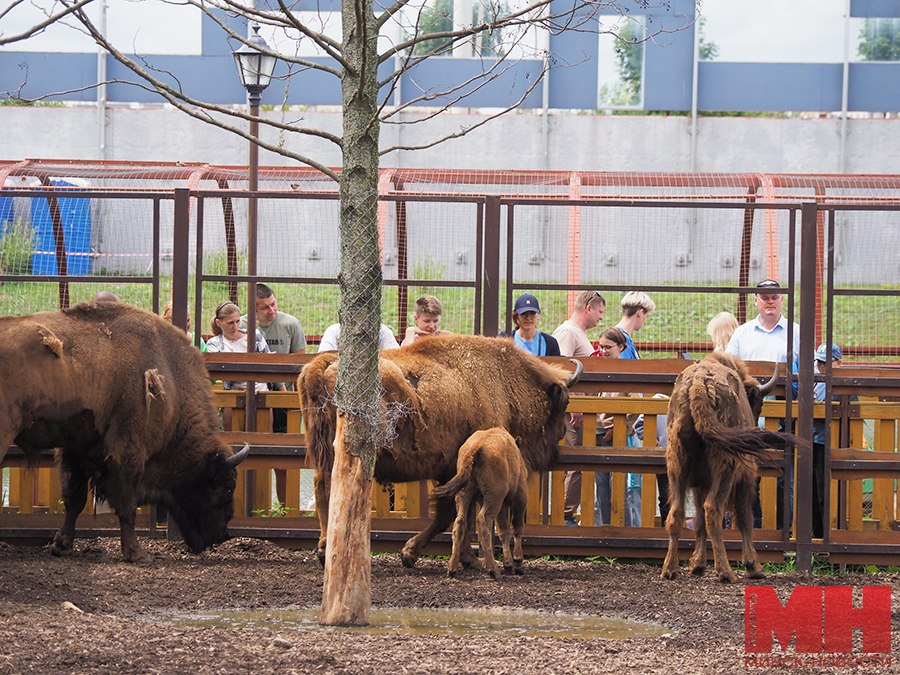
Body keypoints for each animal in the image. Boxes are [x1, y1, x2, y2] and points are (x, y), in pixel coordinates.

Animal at [0, 304, 248, 564]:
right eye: (226, 486)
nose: (223, 534)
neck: (170, 377)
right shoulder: (129, 453)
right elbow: (127, 506)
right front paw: (136, 553)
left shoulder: (76, 450)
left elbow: (74, 500)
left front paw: (61, 546)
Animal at [432, 430, 532, 580]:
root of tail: (476, 447)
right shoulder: (520, 497)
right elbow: (516, 528)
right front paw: (517, 563)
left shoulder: (501, 505)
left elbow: (504, 531)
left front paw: (508, 565)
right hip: (494, 498)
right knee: (483, 521)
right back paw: (493, 571)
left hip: (465, 494)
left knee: (459, 522)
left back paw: (452, 569)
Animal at [660, 352, 800, 584]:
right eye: (757, 403)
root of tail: (699, 383)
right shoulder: (746, 477)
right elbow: (745, 518)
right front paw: (754, 566)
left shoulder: (700, 484)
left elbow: (698, 522)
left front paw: (697, 565)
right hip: (726, 469)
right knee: (713, 509)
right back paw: (726, 572)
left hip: (676, 466)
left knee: (677, 512)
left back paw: (670, 569)